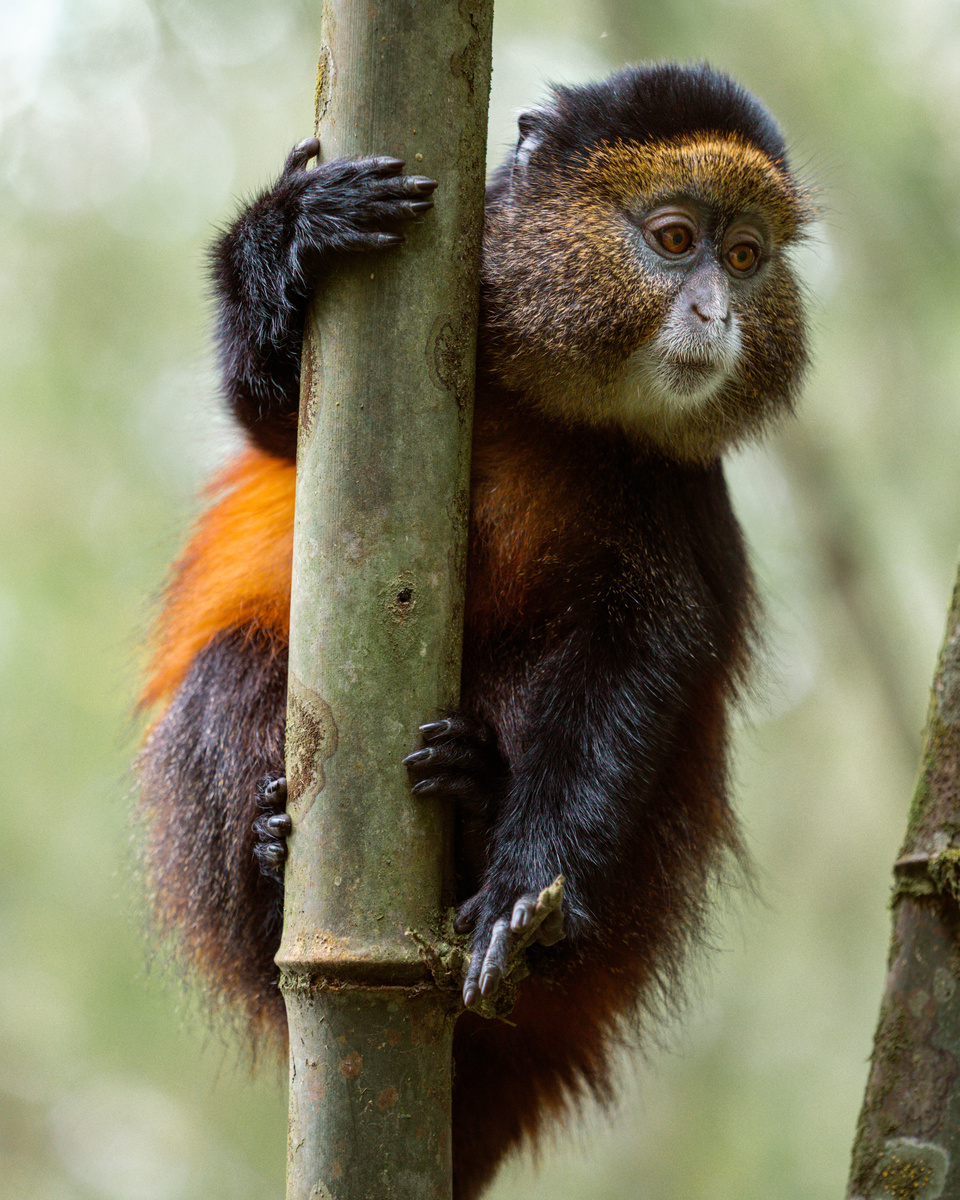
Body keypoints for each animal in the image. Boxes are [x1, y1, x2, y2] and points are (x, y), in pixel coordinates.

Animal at [137, 62, 809, 1200]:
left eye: (749, 257)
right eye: (676, 238)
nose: (716, 310)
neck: (552, 406)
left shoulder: (671, 495)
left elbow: (642, 657)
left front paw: (521, 884)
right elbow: (267, 417)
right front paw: (294, 229)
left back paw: (479, 795)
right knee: (228, 667)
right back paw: (271, 863)